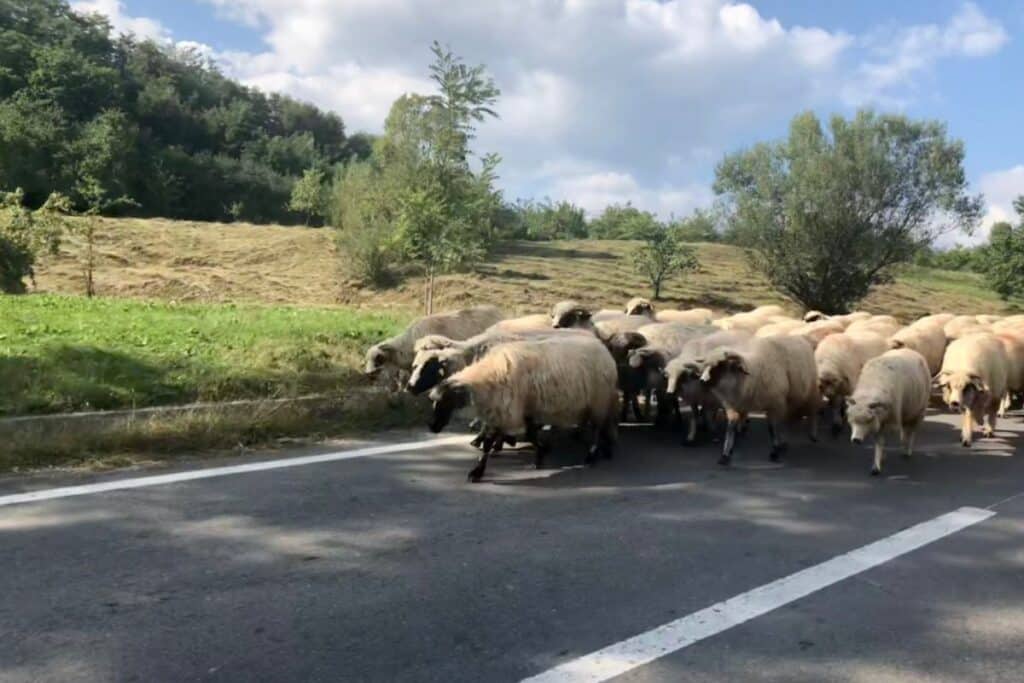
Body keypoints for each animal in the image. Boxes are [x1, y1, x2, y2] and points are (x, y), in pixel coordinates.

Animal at [696, 331, 815, 464]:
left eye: (720, 365)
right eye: (705, 364)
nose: (702, 381)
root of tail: (798, 337)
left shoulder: (775, 405)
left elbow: (772, 428)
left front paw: (775, 451)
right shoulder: (734, 406)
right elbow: (730, 429)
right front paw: (725, 454)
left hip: (809, 392)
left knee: (810, 412)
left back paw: (811, 435)